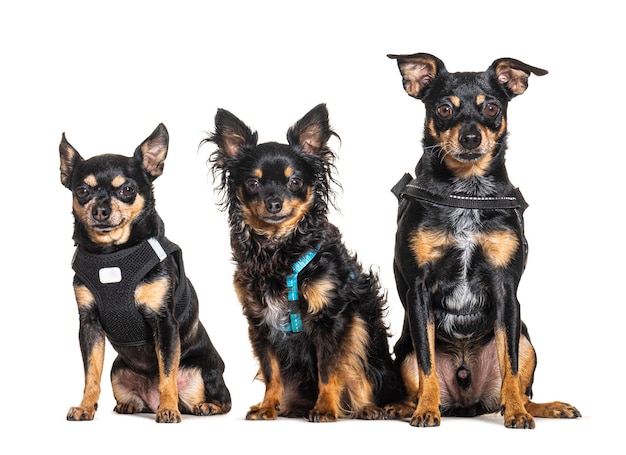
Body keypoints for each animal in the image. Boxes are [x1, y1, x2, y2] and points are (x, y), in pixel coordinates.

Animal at [386, 55, 580, 430]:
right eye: (444, 109)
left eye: (491, 107)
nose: (471, 137)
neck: (468, 191)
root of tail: (467, 404)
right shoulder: (418, 290)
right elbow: (427, 366)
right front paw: (426, 411)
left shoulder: (506, 290)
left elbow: (511, 367)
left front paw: (517, 413)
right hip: (403, 352)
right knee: (417, 376)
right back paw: (404, 407)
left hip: (526, 338)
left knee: (518, 385)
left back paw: (542, 407)